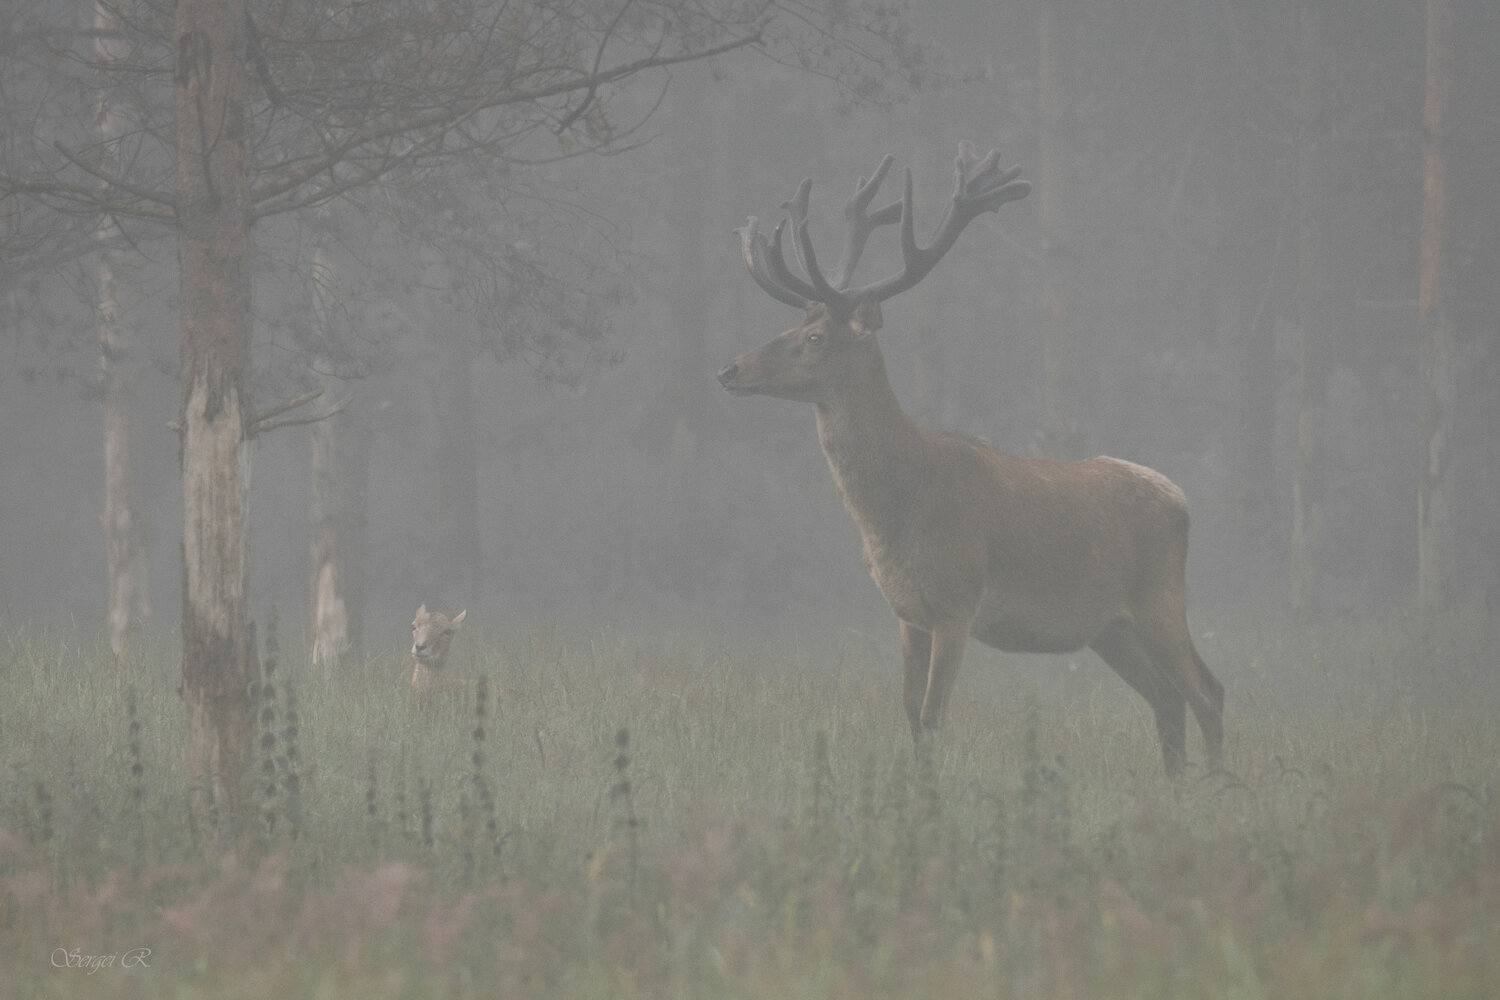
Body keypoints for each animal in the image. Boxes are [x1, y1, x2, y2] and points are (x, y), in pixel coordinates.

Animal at [717, 142, 1223, 775]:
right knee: (1168, 699)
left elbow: (933, 717)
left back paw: (1218, 785)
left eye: (815, 339)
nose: (729, 369)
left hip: (1160, 597)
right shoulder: (907, 613)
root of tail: (1180, 499)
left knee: (1206, 690)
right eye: (792, 325)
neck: (897, 509)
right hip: (1109, 627)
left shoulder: (957, 600)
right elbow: (910, 714)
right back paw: (1176, 785)